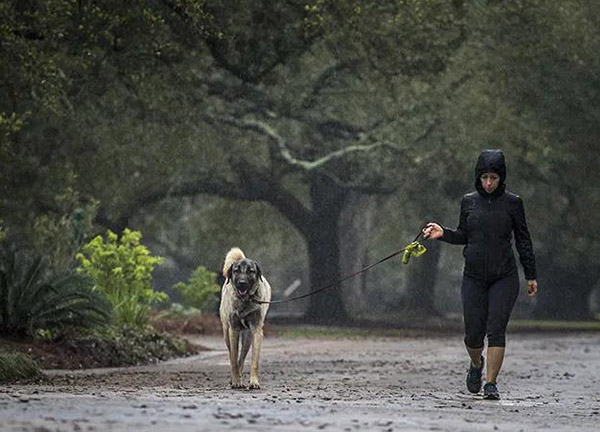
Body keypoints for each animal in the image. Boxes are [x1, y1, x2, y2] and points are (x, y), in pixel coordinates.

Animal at [220, 248, 272, 390]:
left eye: (251, 271)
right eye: (236, 270)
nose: (242, 284)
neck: (246, 301)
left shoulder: (256, 331)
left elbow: (254, 361)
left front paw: (254, 382)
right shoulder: (233, 330)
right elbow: (233, 359)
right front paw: (236, 381)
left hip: (248, 338)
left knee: (242, 358)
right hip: (226, 333)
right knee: (233, 355)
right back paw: (235, 378)